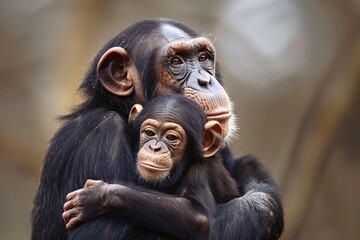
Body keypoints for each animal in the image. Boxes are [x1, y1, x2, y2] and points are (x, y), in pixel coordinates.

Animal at [63, 94, 240, 239]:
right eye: (149, 133)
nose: (155, 147)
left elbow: (198, 215)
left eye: (171, 137)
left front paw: (97, 196)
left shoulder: (200, 169)